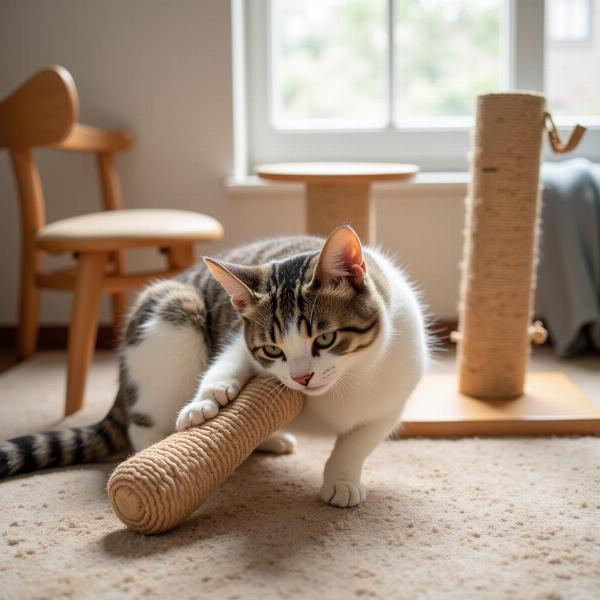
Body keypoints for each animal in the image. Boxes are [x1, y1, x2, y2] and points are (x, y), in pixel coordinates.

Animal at [2, 225, 428, 506]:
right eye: (272, 349)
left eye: (324, 339)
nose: (302, 377)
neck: (341, 388)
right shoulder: (238, 338)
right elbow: (228, 360)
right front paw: (208, 400)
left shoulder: (393, 398)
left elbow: (358, 440)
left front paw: (341, 478)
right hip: (174, 314)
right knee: (141, 425)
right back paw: (160, 453)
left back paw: (270, 439)